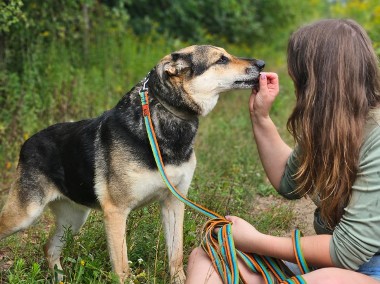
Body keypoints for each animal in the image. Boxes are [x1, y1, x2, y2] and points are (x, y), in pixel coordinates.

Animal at [0, 45, 264, 282]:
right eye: (221, 59)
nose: (262, 64)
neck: (164, 120)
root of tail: (27, 143)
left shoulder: (174, 203)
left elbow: (176, 256)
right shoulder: (116, 212)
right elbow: (122, 268)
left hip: (74, 218)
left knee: (50, 248)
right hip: (26, 214)